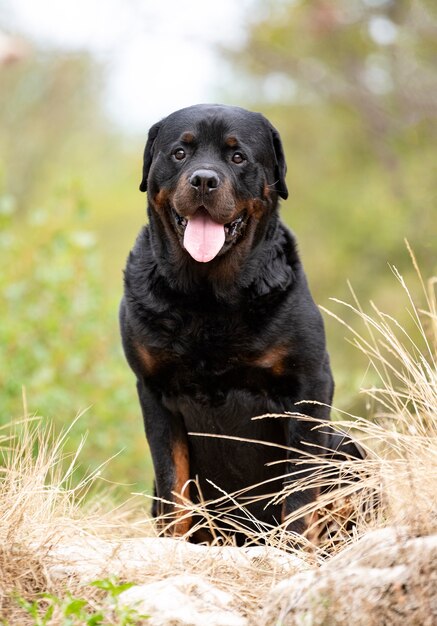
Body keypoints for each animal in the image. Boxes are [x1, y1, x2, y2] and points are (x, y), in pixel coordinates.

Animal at [120, 103, 362, 540]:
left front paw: (293, 546)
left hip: (347, 447)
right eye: (179, 153)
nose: (203, 179)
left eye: (237, 157)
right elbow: (173, 484)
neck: (208, 297)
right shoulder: (154, 390)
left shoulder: (309, 384)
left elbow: (300, 491)